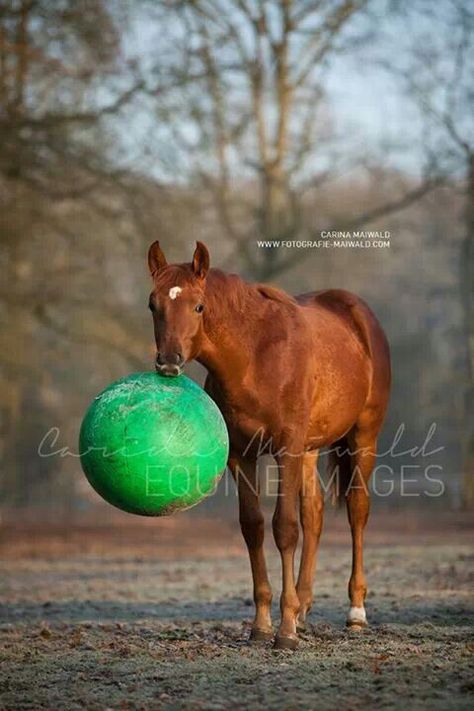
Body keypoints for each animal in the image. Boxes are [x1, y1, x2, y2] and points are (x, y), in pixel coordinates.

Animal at [146, 241, 390, 652]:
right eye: (153, 304)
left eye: (199, 306)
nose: (169, 362)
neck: (256, 358)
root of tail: (359, 315)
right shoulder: (242, 457)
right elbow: (254, 527)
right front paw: (262, 626)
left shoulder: (285, 450)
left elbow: (285, 528)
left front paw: (285, 631)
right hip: (310, 450)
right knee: (315, 513)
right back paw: (305, 608)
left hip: (362, 438)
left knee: (357, 509)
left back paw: (355, 613)